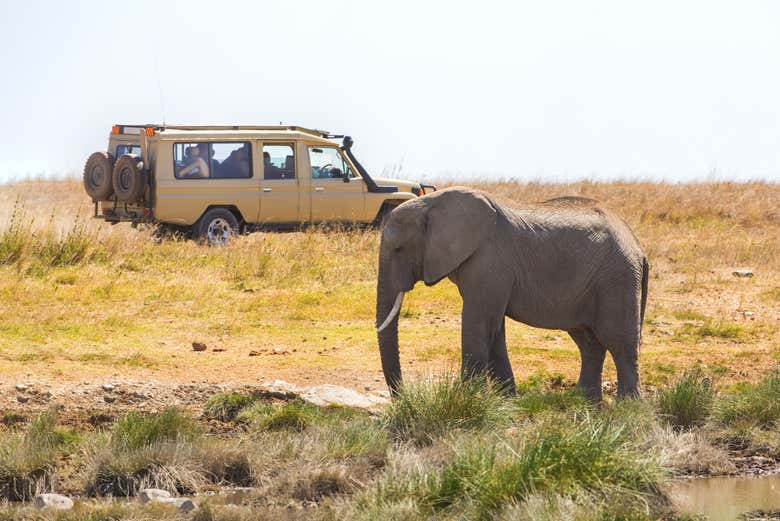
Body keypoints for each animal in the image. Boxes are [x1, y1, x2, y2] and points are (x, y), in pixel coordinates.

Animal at [374, 188, 648, 402]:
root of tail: (638, 246)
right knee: (589, 343)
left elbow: (479, 323)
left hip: (617, 279)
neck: (432, 203)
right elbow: (494, 329)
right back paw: (586, 403)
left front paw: (465, 399)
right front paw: (507, 400)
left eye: (398, 249)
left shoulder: (490, 260)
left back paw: (627, 408)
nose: (403, 399)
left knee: (619, 342)